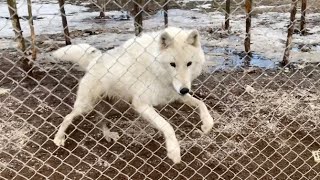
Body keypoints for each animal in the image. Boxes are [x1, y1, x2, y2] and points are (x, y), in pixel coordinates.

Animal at [52, 26, 212, 163]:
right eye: (173, 64)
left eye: (189, 63)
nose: (184, 90)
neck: (156, 69)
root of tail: (95, 60)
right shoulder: (141, 104)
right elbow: (167, 126)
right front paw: (174, 152)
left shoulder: (176, 95)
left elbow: (202, 104)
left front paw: (206, 124)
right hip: (86, 106)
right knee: (68, 117)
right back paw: (58, 138)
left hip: (114, 106)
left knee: (100, 120)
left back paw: (108, 135)